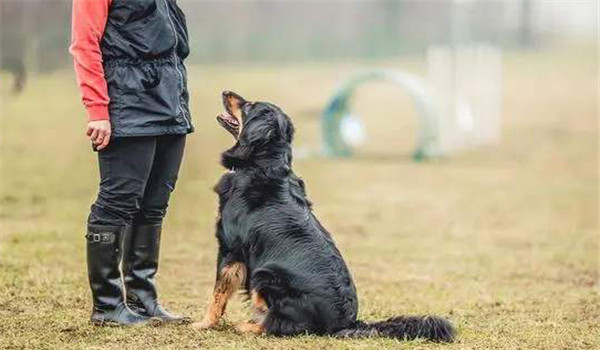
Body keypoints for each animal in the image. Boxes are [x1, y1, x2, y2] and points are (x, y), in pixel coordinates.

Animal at [192, 91, 454, 344]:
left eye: (248, 105)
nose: (226, 91)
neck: (262, 163)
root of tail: (346, 322)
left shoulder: (230, 249)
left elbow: (217, 294)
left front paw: (203, 324)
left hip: (265, 275)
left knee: (282, 325)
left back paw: (247, 326)